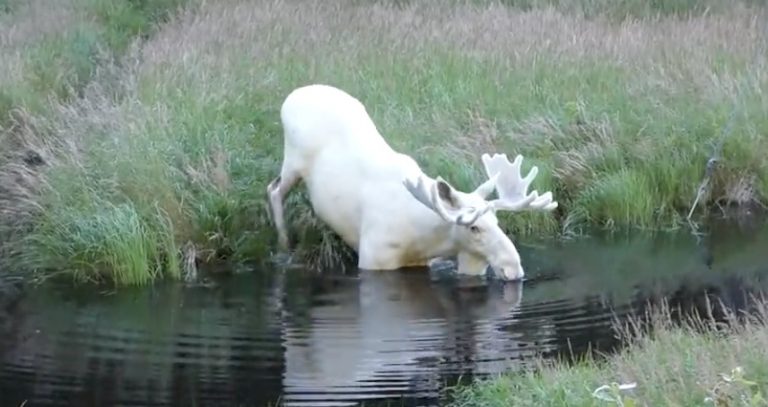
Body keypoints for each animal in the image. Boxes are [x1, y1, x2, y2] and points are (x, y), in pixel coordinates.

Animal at [266, 84, 558, 281]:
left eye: (497, 221)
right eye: (474, 228)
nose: (514, 269)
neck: (423, 239)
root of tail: (291, 97)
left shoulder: (418, 263)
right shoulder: (372, 258)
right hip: (293, 161)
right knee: (274, 190)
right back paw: (283, 243)